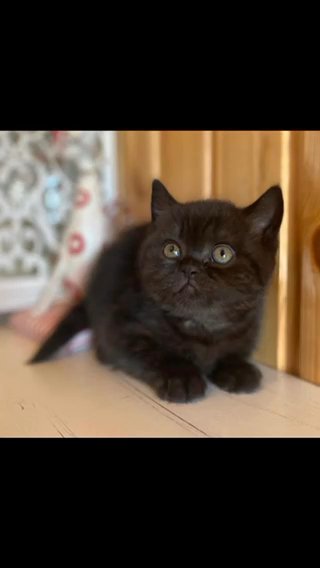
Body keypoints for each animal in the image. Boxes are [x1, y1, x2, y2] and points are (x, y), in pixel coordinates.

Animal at [31, 180, 284, 402]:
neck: (202, 325)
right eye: (171, 249)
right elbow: (156, 353)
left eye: (223, 254)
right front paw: (181, 377)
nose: (189, 267)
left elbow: (234, 349)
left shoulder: (249, 326)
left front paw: (237, 368)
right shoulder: (119, 329)